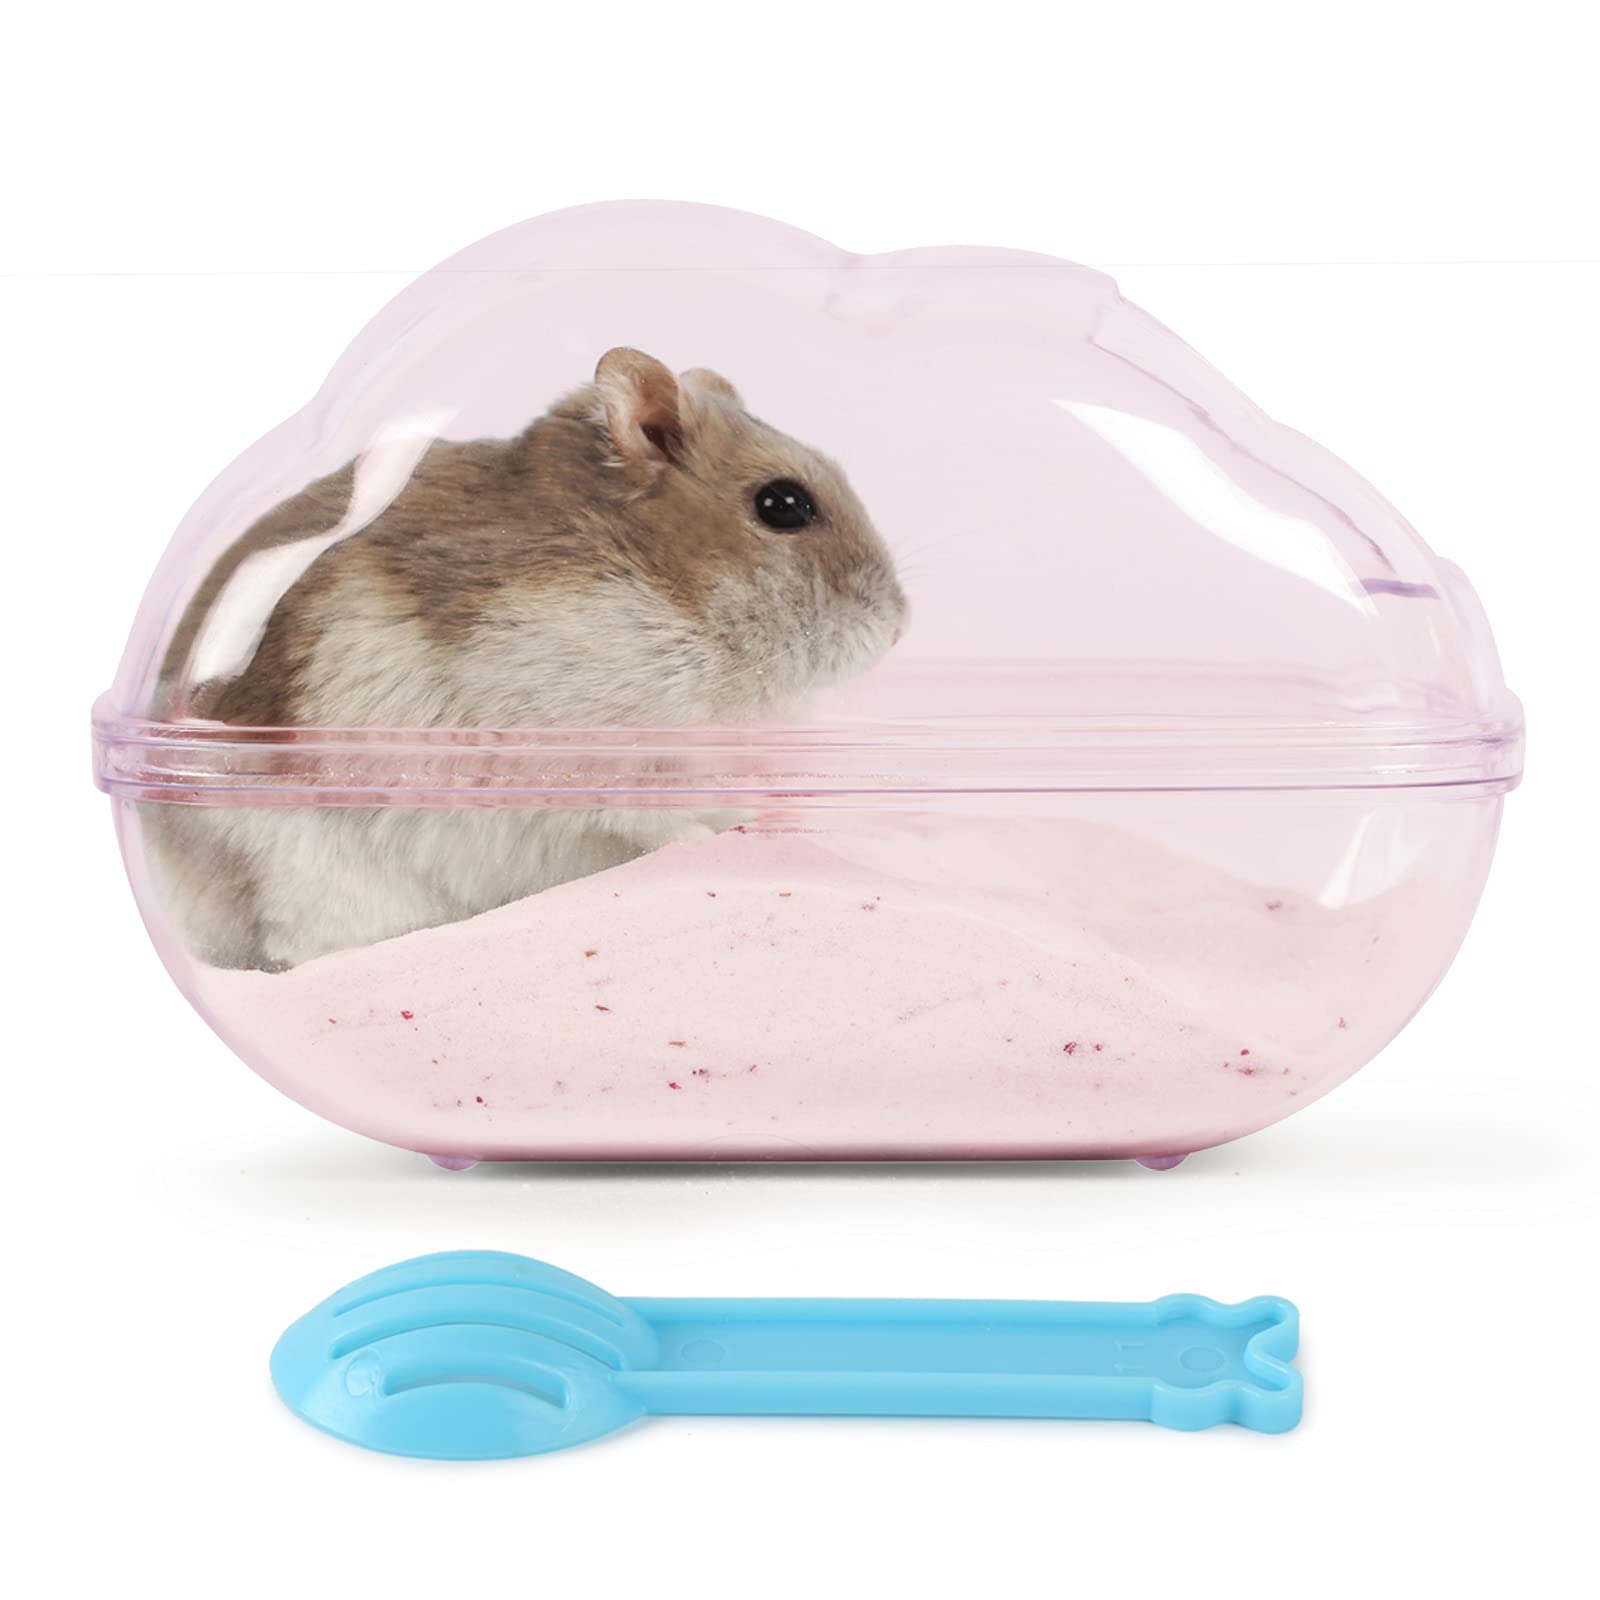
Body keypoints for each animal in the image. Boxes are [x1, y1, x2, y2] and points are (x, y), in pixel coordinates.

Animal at [148, 348, 908, 972]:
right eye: (783, 504)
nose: (899, 626)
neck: (678, 607)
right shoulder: (577, 748)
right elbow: (652, 816)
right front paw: (716, 840)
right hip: (307, 871)